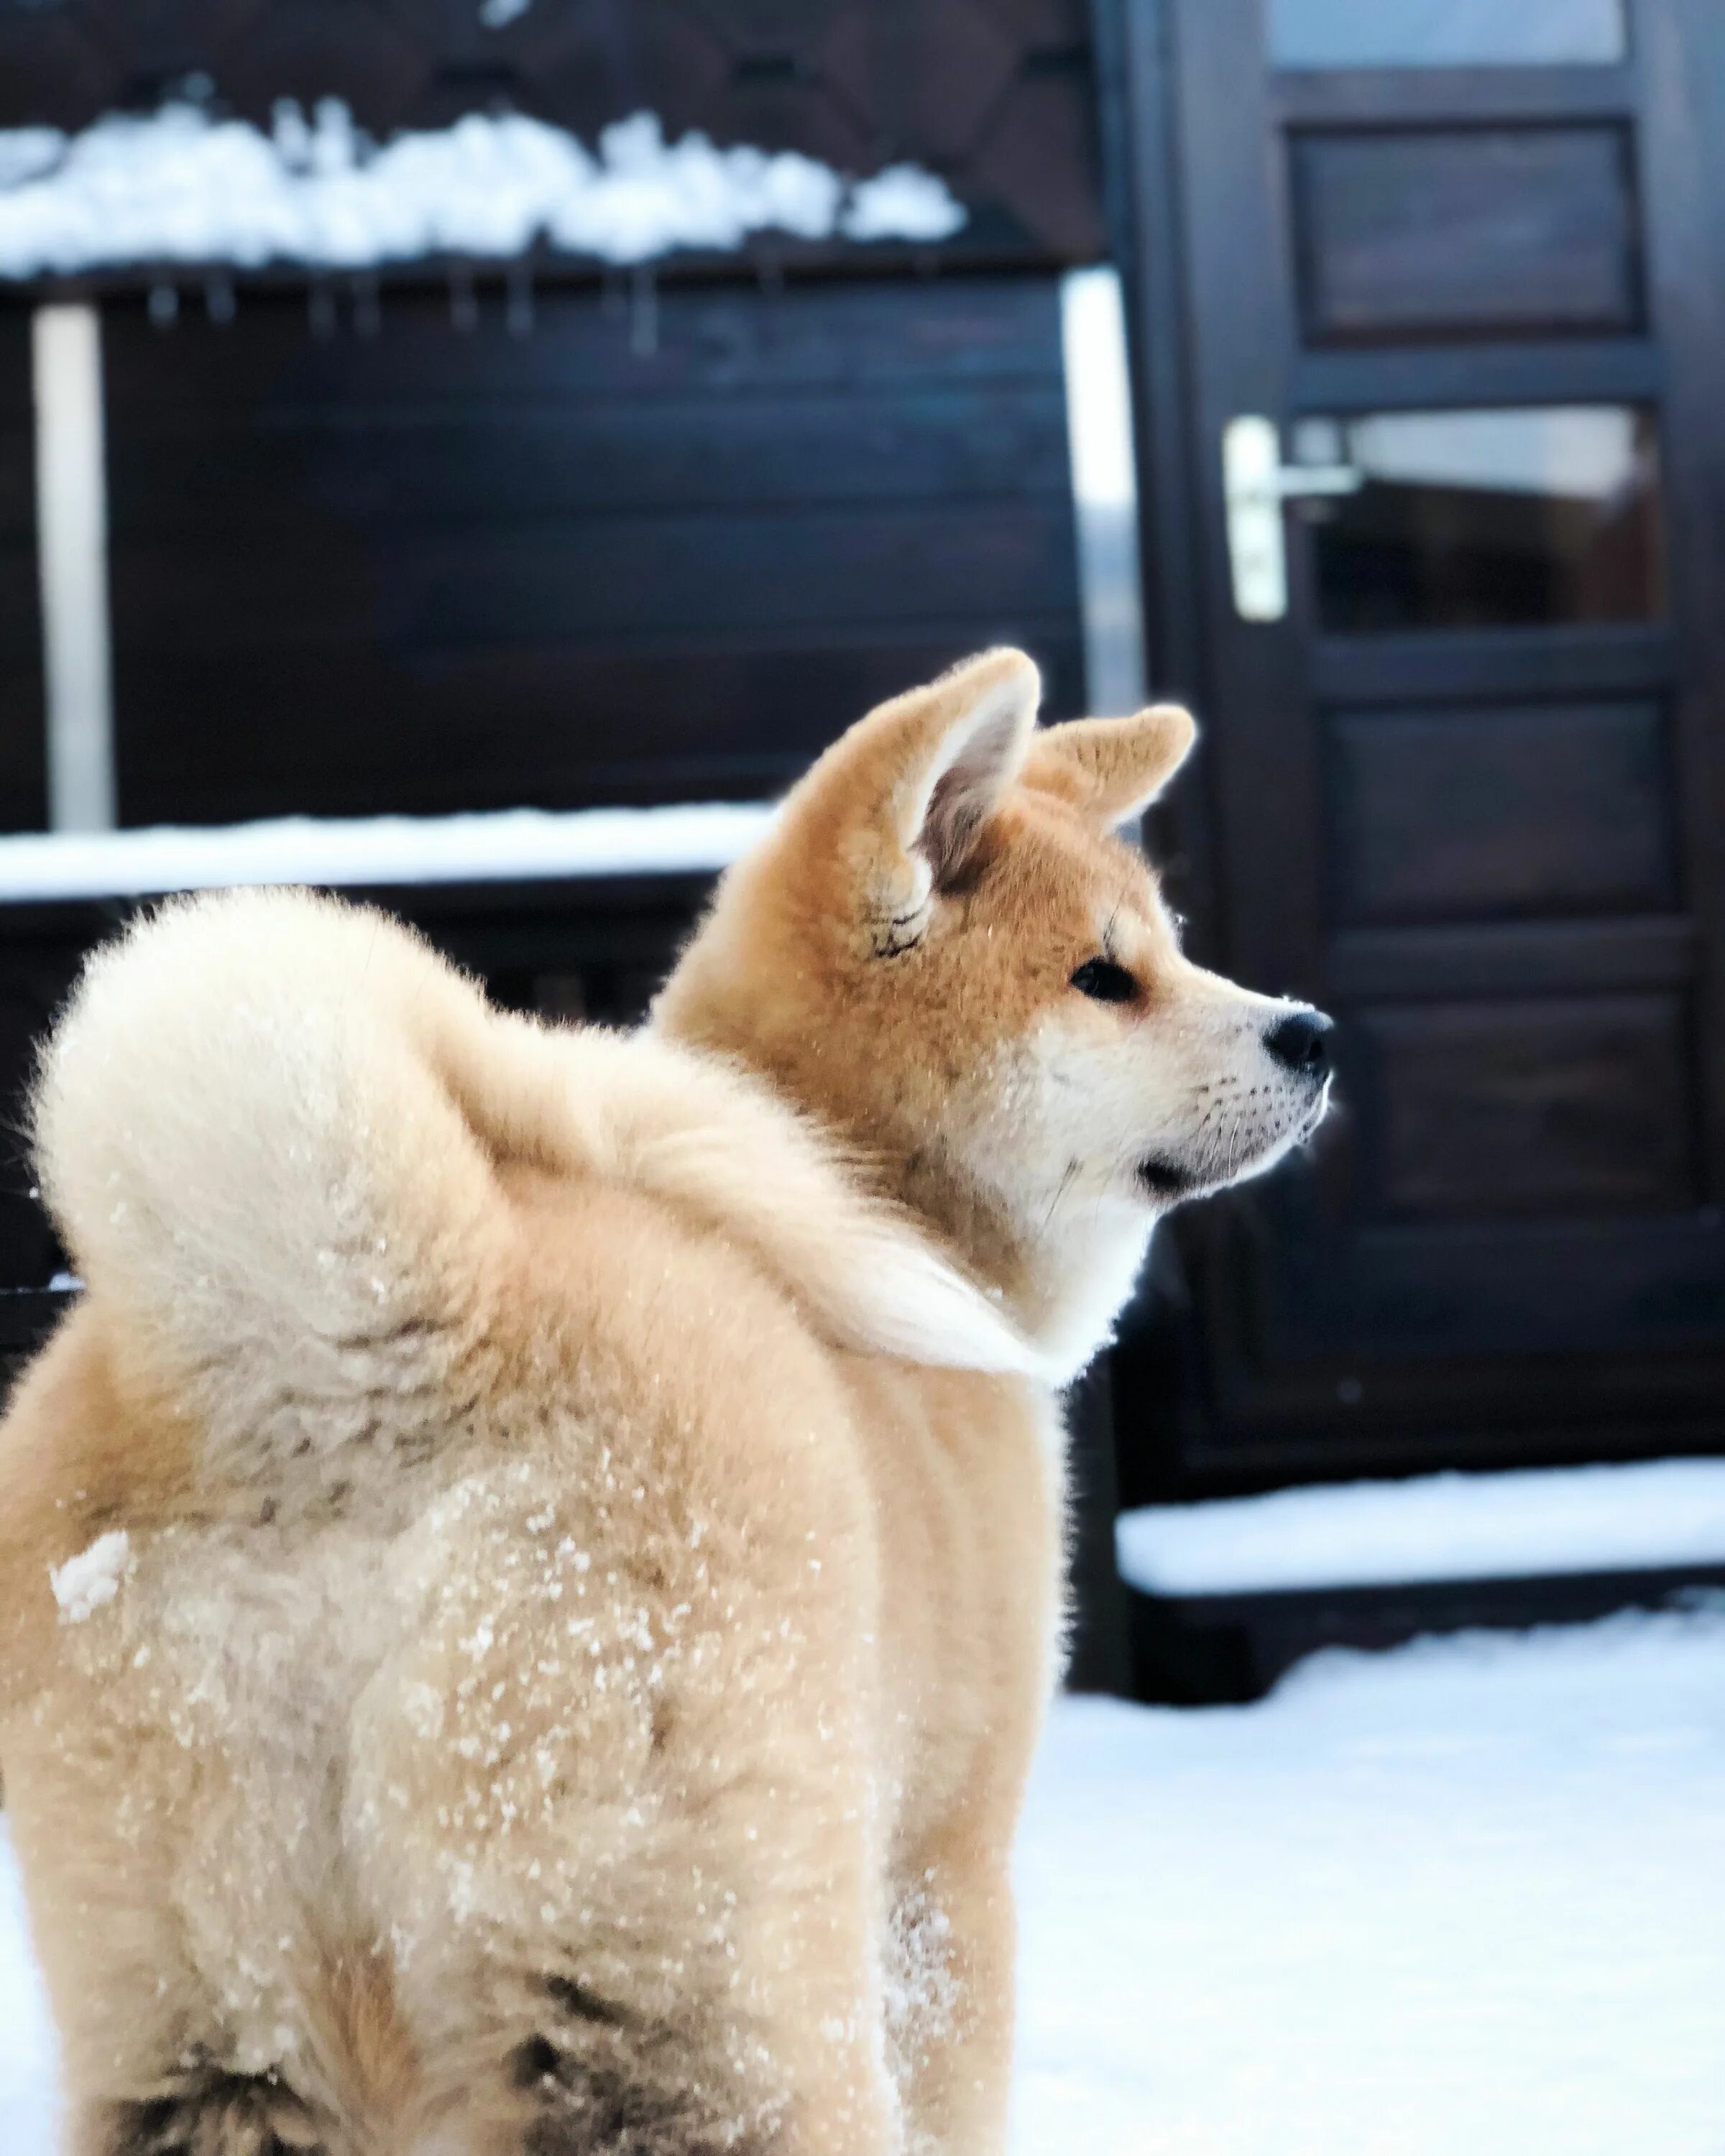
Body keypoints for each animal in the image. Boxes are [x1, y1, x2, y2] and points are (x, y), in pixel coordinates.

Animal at [0, 651, 1337, 2156]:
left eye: (1169, 947)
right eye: (1106, 978)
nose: (1315, 1034)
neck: (878, 1189)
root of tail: (351, 1334)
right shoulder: (940, 1862)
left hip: (220, 2017)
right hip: (685, 1972)